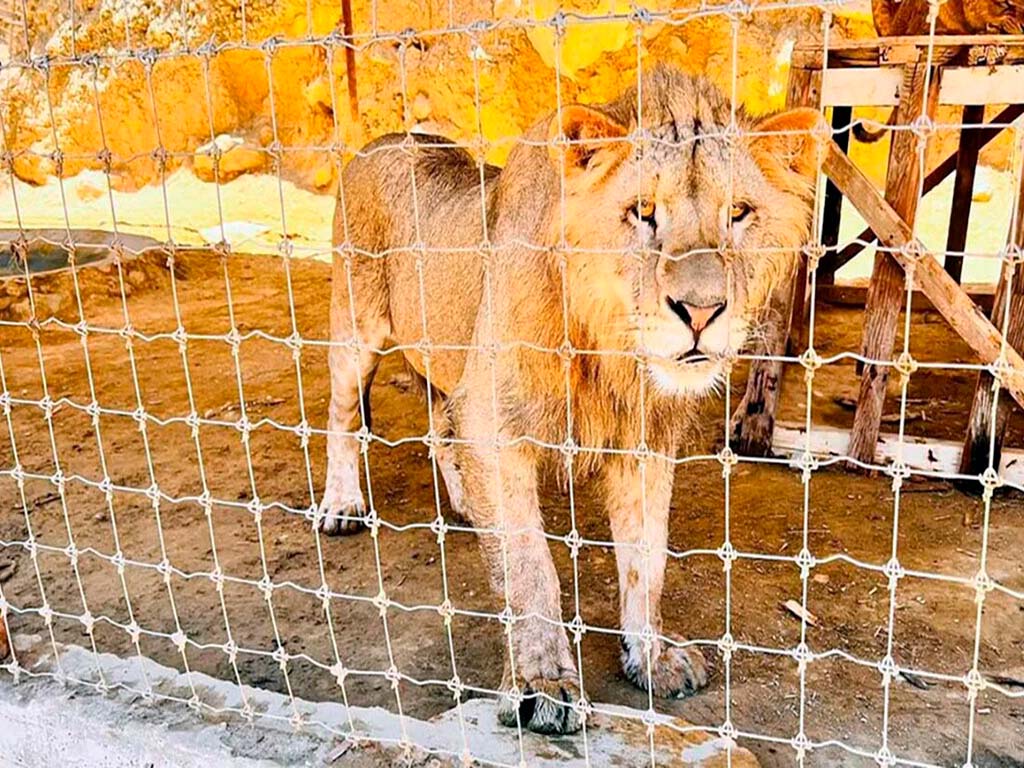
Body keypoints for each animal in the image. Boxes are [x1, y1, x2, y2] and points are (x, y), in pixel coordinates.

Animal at [317, 69, 823, 737]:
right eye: (643, 212)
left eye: (737, 213)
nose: (701, 311)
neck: (609, 351)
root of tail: (384, 139)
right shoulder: (496, 419)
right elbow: (530, 565)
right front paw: (541, 684)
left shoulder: (645, 443)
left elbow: (647, 560)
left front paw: (652, 656)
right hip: (356, 331)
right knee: (343, 417)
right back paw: (342, 505)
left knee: (439, 420)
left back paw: (462, 501)